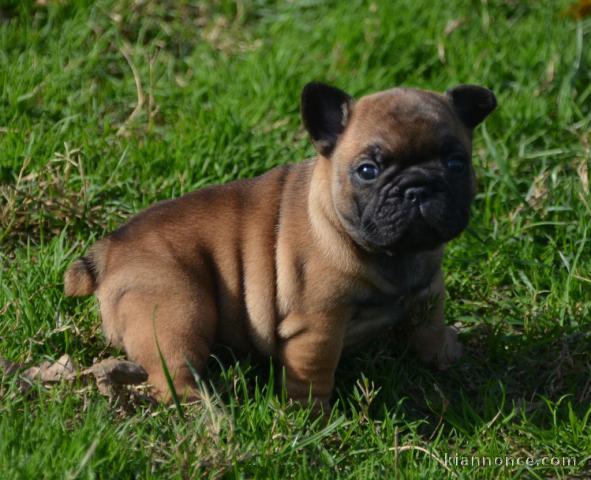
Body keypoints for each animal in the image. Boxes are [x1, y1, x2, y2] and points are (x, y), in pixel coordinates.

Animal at [65, 82, 498, 408]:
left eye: (457, 163)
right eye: (367, 171)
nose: (418, 188)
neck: (393, 256)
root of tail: (109, 249)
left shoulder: (428, 289)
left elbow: (430, 325)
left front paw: (444, 354)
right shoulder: (317, 326)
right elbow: (314, 373)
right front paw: (312, 417)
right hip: (177, 308)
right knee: (173, 371)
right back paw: (208, 408)